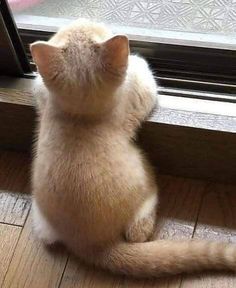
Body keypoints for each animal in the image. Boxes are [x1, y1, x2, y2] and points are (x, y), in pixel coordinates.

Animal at [30, 18, 236, 276]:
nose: (83, 18)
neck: (79, 116)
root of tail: (92, 244)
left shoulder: (42, 94)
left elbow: (38, 87)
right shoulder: (140, 93)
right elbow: (146, 76)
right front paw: (138, 59)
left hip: (41, 219)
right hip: (143, 169)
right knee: (138, 231)